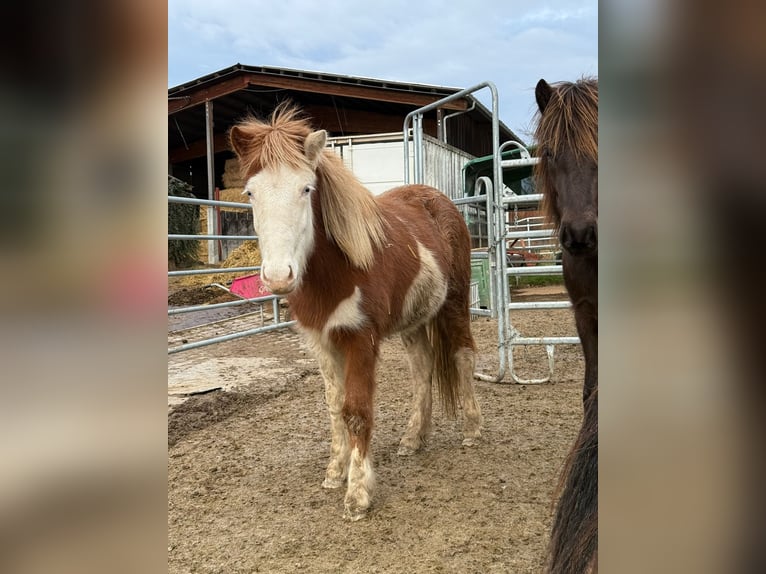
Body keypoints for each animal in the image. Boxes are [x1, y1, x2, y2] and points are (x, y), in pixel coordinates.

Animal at [228, 104, 483, 521]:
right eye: (250, 192)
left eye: (306, 188)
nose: (279, 277)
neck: (338, 271)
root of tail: (437, 201)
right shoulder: (321, 342)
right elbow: (334, 407)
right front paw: (335, 472)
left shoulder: (361, 339)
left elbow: (357, 410)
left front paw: (358, 493)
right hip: (414, 321)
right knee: (423, 369)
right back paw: (413, 438)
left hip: (455, 303)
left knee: (462, 355)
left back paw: (473, 430)